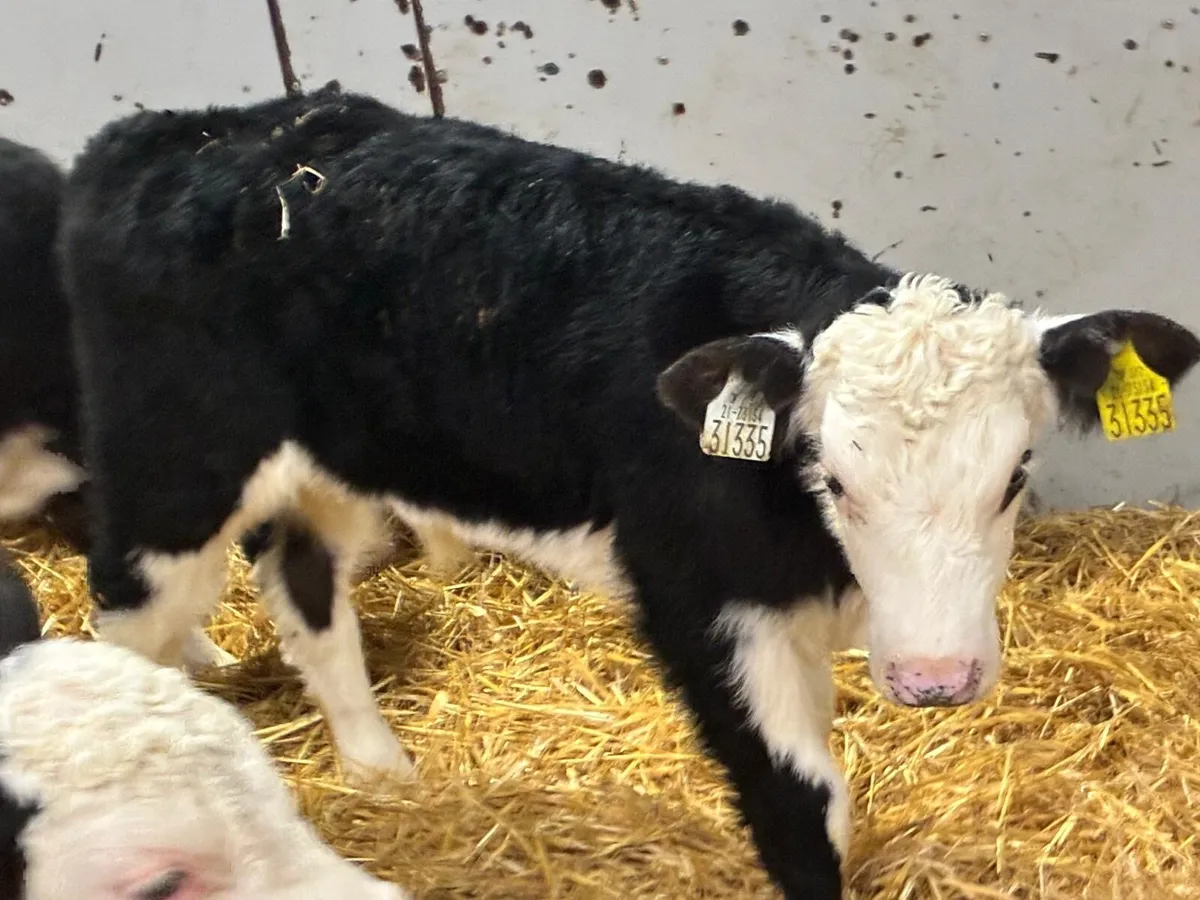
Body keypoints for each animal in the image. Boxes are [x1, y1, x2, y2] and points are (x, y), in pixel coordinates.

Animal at [56, 85, 1200, 898]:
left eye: (1015, 476)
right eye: (832, 475)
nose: (935, 680)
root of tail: (170, 134)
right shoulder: (695, 602)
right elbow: (801, 808)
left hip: (332, 466)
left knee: (307, 593)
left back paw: (380, 768)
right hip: (173, 463)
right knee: (125, 614)